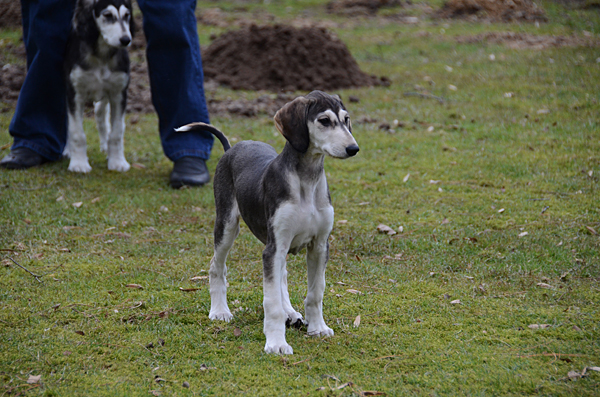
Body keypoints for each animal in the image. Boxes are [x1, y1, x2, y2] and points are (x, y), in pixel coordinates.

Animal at [65, 0, 136, 172]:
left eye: (127, 15)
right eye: (108, 15)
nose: (126, 40)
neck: (102, 56)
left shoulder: (118, 93)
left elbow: (117, 132)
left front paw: (117, 161)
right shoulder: (75, 93)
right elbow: (76, 132)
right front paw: (79, 163)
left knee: (99, 112)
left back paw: (105, 146)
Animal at [176, 89, 358, 352]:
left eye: (346, 119)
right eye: (324, 120)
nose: (353, 148)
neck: (307, 181)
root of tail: (231, 148)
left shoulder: (319, 246)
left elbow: (316, 293)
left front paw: (318, 328)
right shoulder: (274, 248)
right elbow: (271, 303)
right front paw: (276, 343)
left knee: (281, 276)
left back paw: (290, 312)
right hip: (227, 226)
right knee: (216, 266)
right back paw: (220, 311)